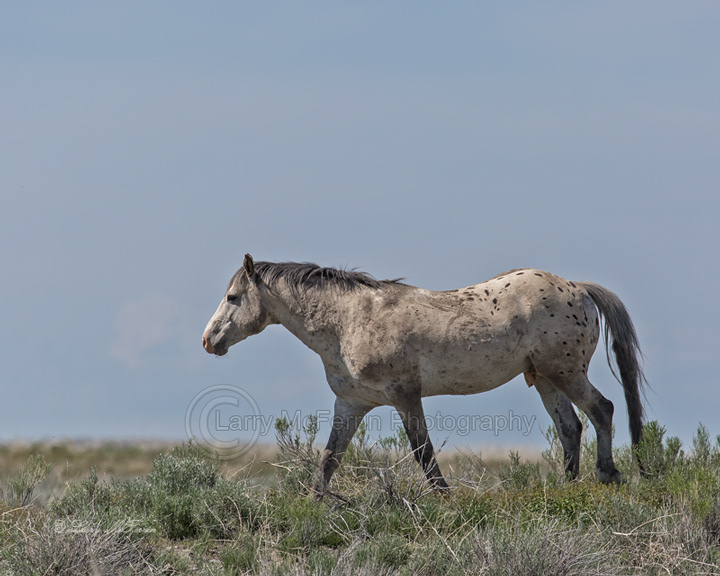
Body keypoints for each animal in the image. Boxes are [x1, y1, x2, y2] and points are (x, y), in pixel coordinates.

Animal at [202, 254, 648, 498]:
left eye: (233, 297)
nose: (208, 340)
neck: (348, 322)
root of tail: (579, 288)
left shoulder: (405, 396)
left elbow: (424, 452)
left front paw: (446, 498)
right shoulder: (351, 403)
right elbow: (329, 458)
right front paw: (312, 503)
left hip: (565, 372)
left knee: (602, 409)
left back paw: (607, 475)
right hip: (543, 378)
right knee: (570, 426)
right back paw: (566, 487)